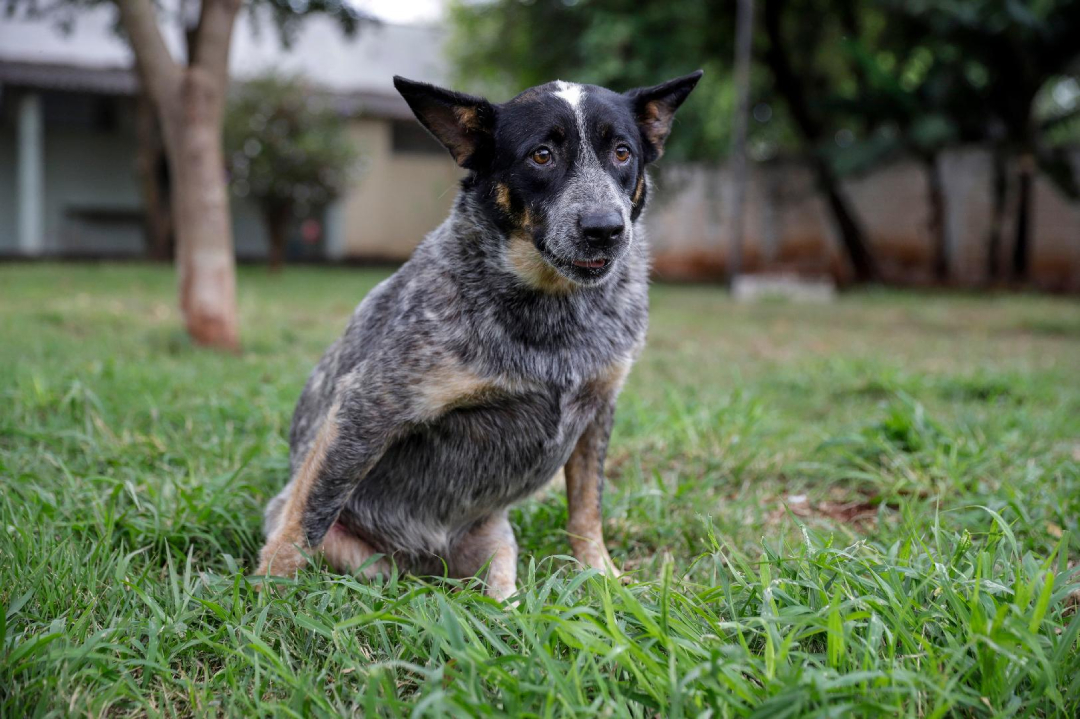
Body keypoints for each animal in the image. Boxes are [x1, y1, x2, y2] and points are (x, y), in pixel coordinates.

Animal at [257, 70, 704, 595]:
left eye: (621, 152)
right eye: (541, 155)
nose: (605, 229)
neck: (555, 308)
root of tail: (424, 568)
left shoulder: (599, 406)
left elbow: (586, 509)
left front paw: (602, 575)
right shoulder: (368, 407)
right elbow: (305, 520)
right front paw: (267, 597)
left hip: (496, 542)